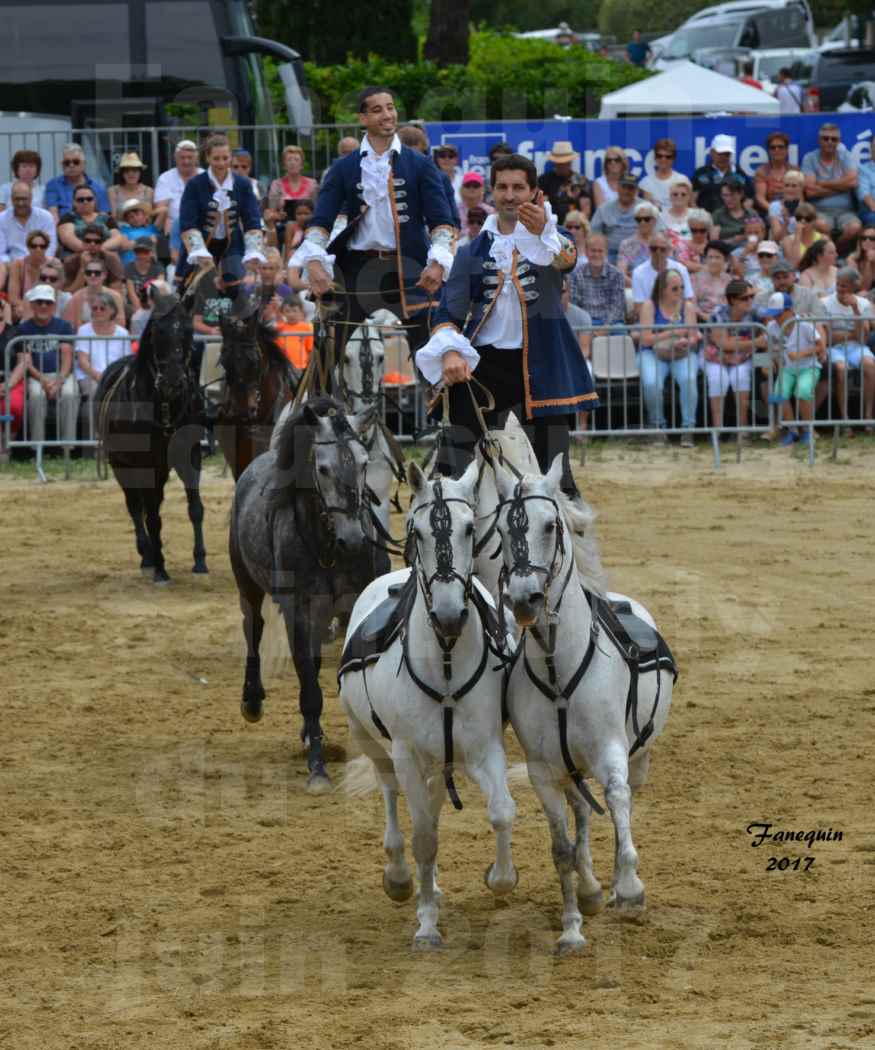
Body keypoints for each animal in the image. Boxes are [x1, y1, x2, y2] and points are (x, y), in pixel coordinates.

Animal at [95, 283, 206, 588]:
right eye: (157, 330)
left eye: (188, 330)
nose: (172, 381)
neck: (164, 405)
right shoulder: (146, 464)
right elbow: (152, 517)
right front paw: (160, 570)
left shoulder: (189, 456)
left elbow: (195, 508)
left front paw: (200, 561)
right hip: (121, 464)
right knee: (135, 507)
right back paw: (147, 557)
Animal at [232, 396, 382, 789]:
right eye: (324, 468)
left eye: (364, 463)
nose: (354, 539)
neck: (327, 547)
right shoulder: (297, 610)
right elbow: (311, 691)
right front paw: (317, 767)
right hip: (247, 585)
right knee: (253, 628)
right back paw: (253, 701)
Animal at [338, 464, 514, 949]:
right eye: (416, 532)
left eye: (470, 528)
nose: (450, 616)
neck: (446, 662)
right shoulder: (407, 754)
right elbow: (423, 839)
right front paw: (427, 925)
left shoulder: (484, 749)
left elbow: (500, 812)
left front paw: (499, 878)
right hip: (371, 740)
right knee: (392, 797)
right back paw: (401, 877)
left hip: (440, 761)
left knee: (432, 811)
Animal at [491, 455, 676, 957]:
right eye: (501, 530)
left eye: (550, 525)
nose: (525, 598)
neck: (560, 666)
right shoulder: (543, 772)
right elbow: (561, 850)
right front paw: (572, 926)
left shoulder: (611, 751)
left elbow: (616, 799)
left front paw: (629, 888)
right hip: (569, 771)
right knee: (580, 816)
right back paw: (593, 889)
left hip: (638, 756)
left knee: (621, 803)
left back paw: (613, 886)